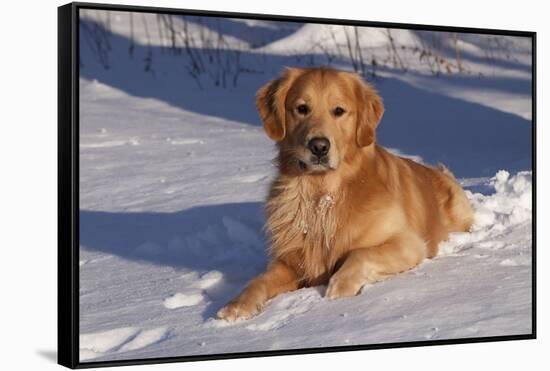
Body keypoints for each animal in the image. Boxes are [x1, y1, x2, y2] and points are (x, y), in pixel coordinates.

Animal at [216, 67, 474, 322]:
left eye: (339, 111)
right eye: (302, 108)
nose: (319, 147)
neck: (322, 196)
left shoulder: (408, 243)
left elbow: (360, 253)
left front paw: (338, 289)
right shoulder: (291, 261)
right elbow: (259, 280)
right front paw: (236, 306)